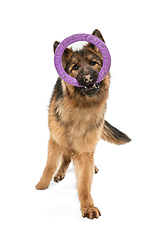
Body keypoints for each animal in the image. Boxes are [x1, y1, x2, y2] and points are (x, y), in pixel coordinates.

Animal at [35, 29, 131, 219]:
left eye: (93, 63)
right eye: (75, 68)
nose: (87, 78)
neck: (81, 107)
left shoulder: (85, 149)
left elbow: (85, 182)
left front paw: (88, 206)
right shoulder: (55, 140)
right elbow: (50, 165)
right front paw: (42, 185)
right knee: (66, 156)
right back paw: (60, 173)